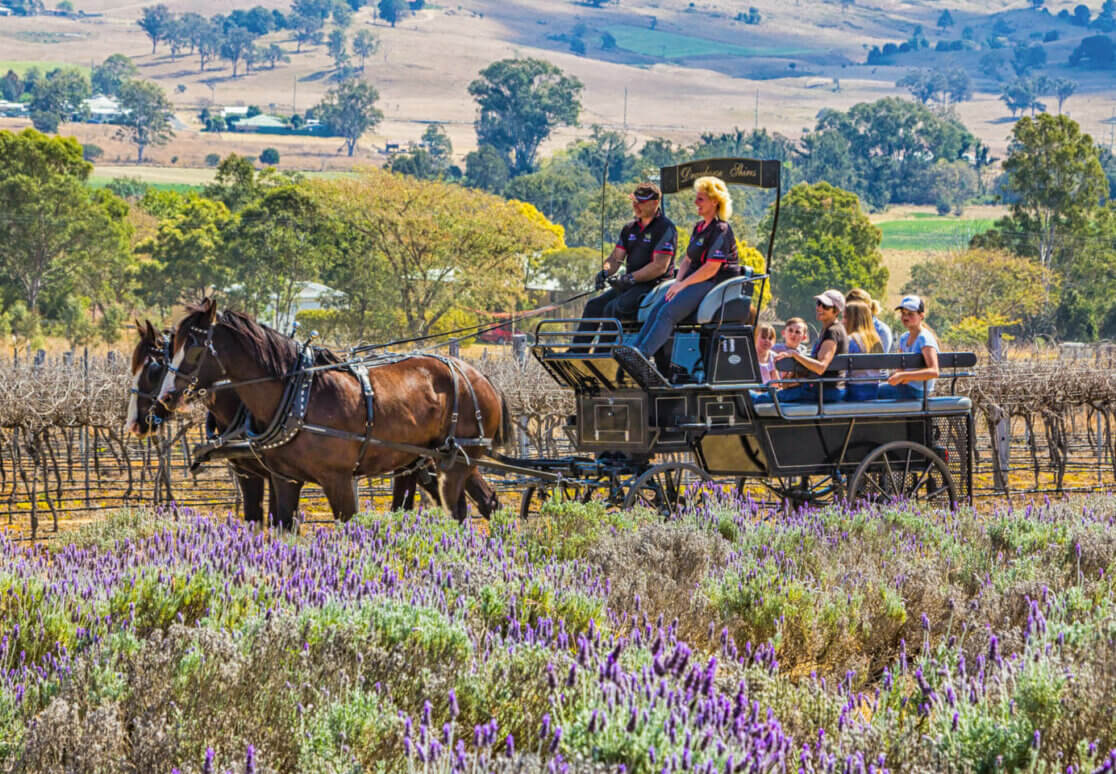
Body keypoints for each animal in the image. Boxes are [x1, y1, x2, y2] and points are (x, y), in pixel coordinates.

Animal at [154, 301, 511, 524]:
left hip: (457, 461)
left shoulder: (337, 479)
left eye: (195, 347)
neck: (297, 396)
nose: (164, 398)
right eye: (170, 348)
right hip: (432, 461)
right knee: (482, 503)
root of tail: (479, 376)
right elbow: (282, 529)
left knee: (459, 510)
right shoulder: (284, 478)